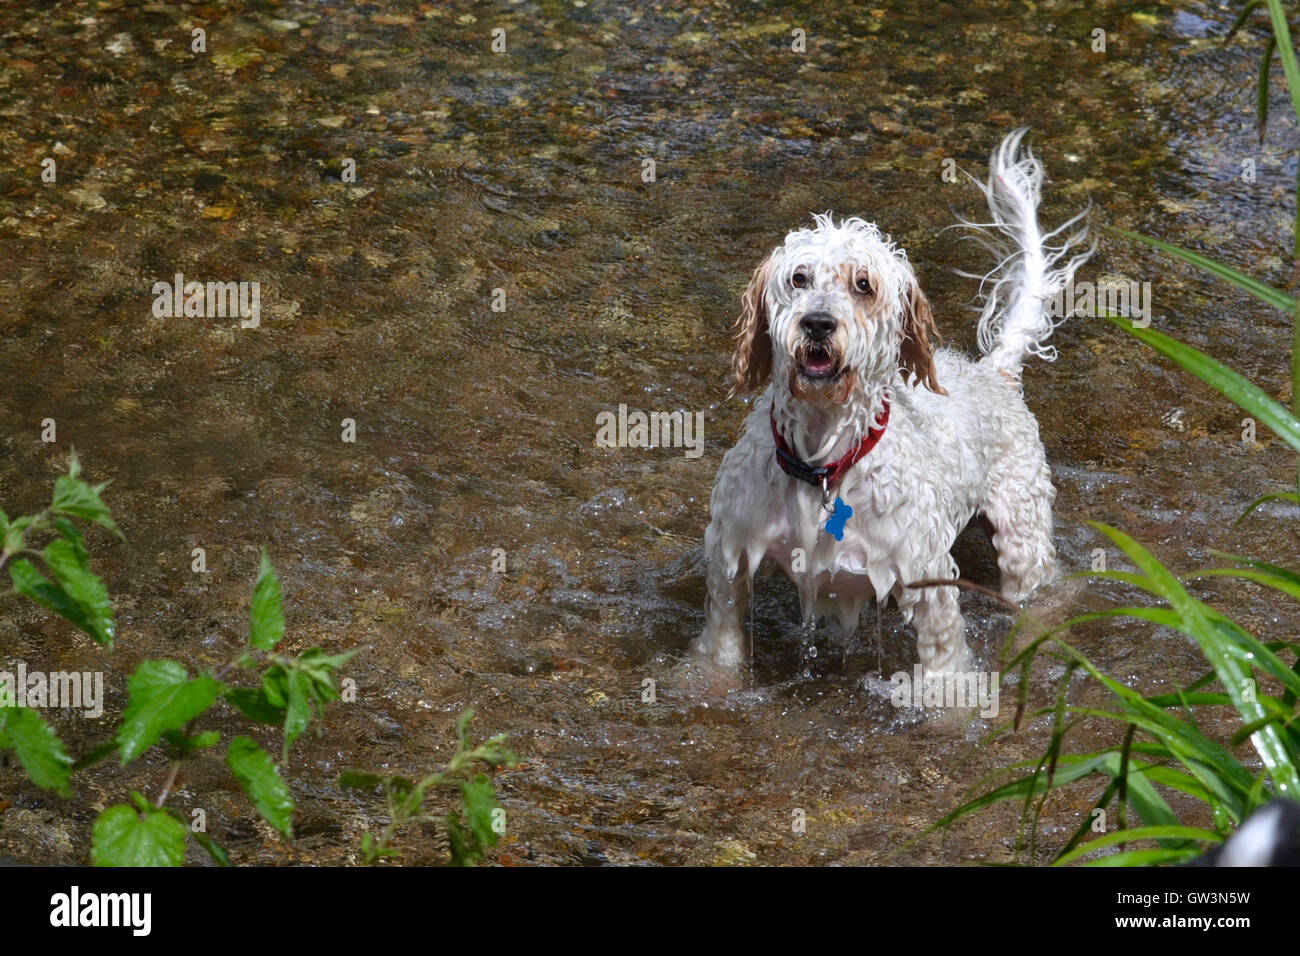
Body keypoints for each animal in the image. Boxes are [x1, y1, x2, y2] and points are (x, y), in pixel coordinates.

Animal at [696, 130, 1092, 681]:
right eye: (799, 278)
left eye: (864, 284)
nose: (817, 323)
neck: (823, 462)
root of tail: (994, 369)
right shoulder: (730, 551)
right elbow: (722, 636)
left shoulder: (926, 575)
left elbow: (944, 662)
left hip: (1023, 534)